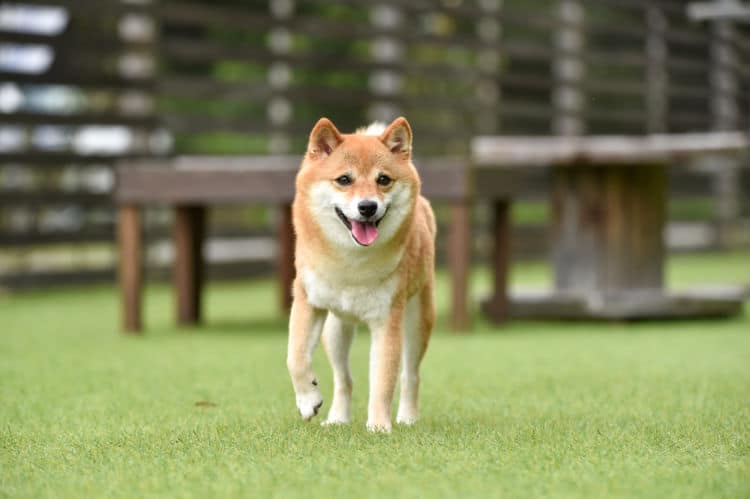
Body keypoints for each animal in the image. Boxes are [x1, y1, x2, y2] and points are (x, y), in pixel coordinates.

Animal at [288, 117, 440, 434]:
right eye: (344, 180)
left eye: (383, 180)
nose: (368, 206)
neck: (351, 264)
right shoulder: (307, 301)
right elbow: (295, 357)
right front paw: (308, 401)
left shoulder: (387, 320)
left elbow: (383, 381)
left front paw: (379, 426)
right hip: (335, 329)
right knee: (343, 378)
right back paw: (337, 418)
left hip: (417, 320)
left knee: (410, 375)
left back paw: (408, 417)